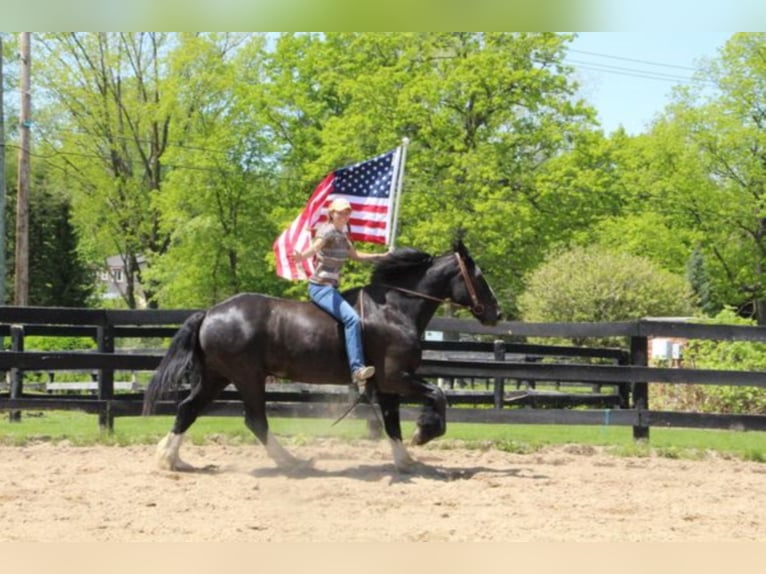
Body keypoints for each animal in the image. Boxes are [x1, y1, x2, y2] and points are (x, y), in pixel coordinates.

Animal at [142, 238, 504, 472]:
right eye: (479, 276)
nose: (496, 313)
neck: (394, 310)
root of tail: (210, 312)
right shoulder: (396, 378)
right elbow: (438, 396)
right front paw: (424, 433)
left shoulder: (387, 386)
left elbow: (392, 424)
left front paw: (405, 460)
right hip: (246, 377)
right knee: (255, 420)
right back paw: (291, 462)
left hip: (216, 377)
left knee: (188, 409)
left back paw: (170, 460)